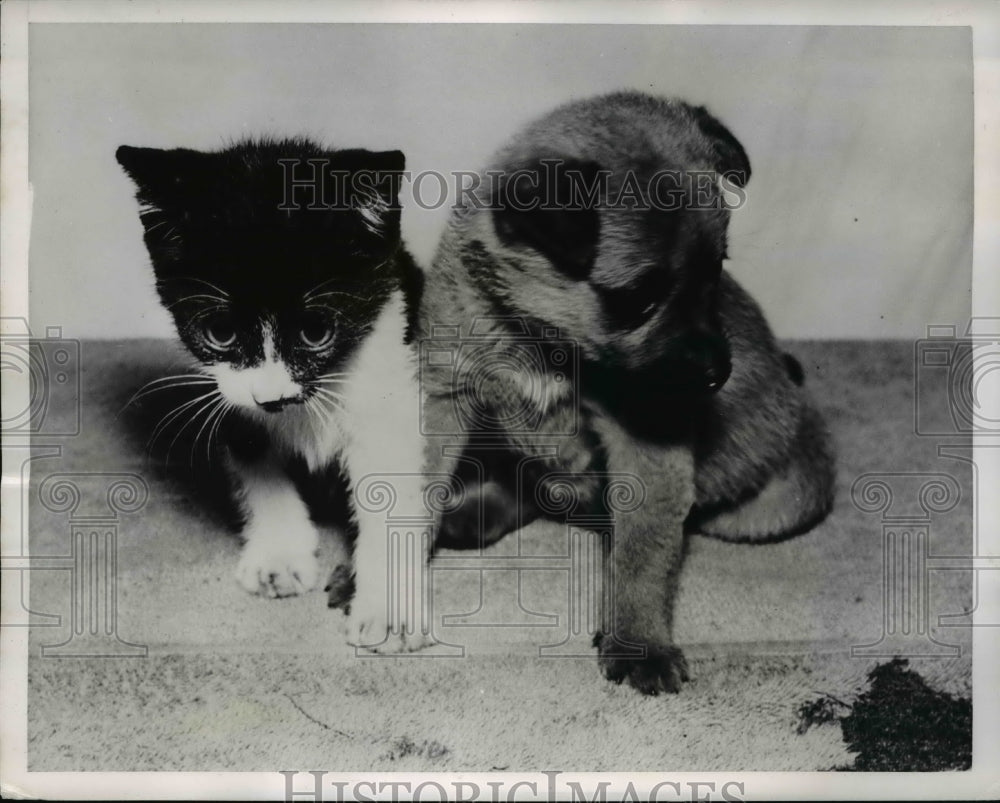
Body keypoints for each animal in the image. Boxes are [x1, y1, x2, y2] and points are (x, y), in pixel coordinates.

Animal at [115, 138, 432, 652]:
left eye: (316, 332)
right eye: (220, 332)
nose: (271, 397)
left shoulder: (391, 379)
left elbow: (391, 488)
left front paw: (391, 611)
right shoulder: (228, 396)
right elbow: (254, 459)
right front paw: (278, 556)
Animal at [416, 94, 836, 696]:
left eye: (716, 272)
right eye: (638, 298)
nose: (719, 372)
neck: (542, 338)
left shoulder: (648, 450)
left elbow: (643, 552)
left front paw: (639, 641)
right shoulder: (444, 402)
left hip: (781, 502)